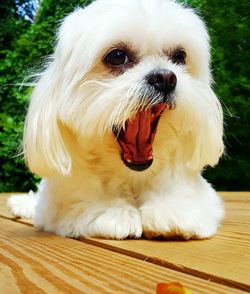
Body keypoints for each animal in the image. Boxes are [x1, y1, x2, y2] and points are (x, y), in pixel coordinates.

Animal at [7, 0, 225, 240]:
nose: (165, 77)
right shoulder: (59, 200)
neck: (132, 176)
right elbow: (84, 200)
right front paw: (112, 212)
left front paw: (172, 210)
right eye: (117, 56)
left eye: (179, 56)